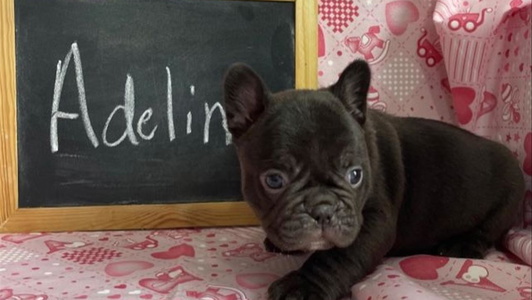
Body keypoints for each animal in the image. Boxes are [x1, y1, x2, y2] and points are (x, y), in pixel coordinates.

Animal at [222, 59, 524, 300]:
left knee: (488, 230)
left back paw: (462, 244)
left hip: (507, 199)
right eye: (274, 181)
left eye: (355, 175)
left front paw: (303, 285)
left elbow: (338, 256)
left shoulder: (373, 221)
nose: (323, 209)